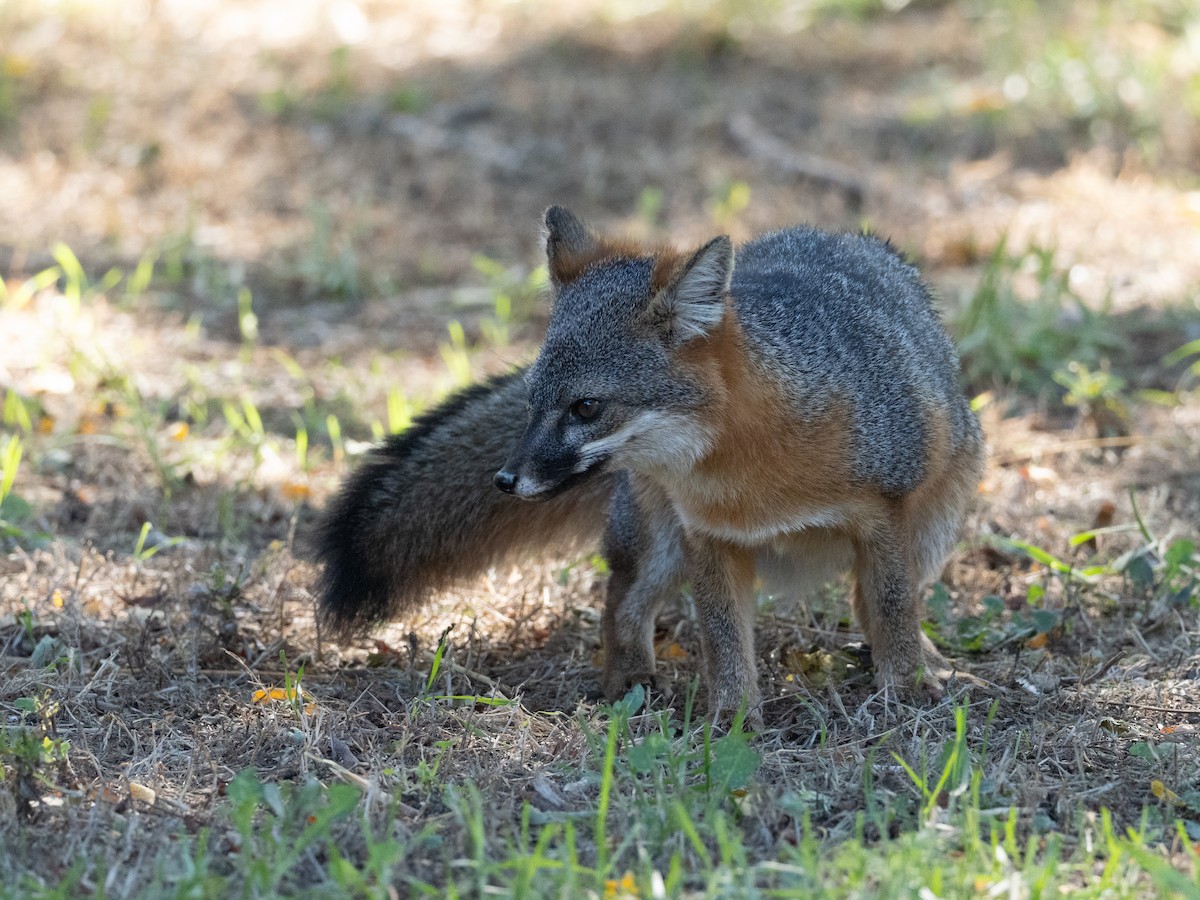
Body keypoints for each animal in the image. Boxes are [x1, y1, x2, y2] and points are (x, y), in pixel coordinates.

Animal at [314, 206, 985, 720]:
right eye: (533, 402)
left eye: (586, 407)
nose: (505, 479)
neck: (754, 474)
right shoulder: (709, 538)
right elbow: (722, 640)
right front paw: (732, 720)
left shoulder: (882, 517)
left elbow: (892, 608)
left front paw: (904, 692)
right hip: (660, 545)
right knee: (624, 603)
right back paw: (630, 683)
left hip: (939, 517)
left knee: (875, 603)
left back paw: (932, 664)